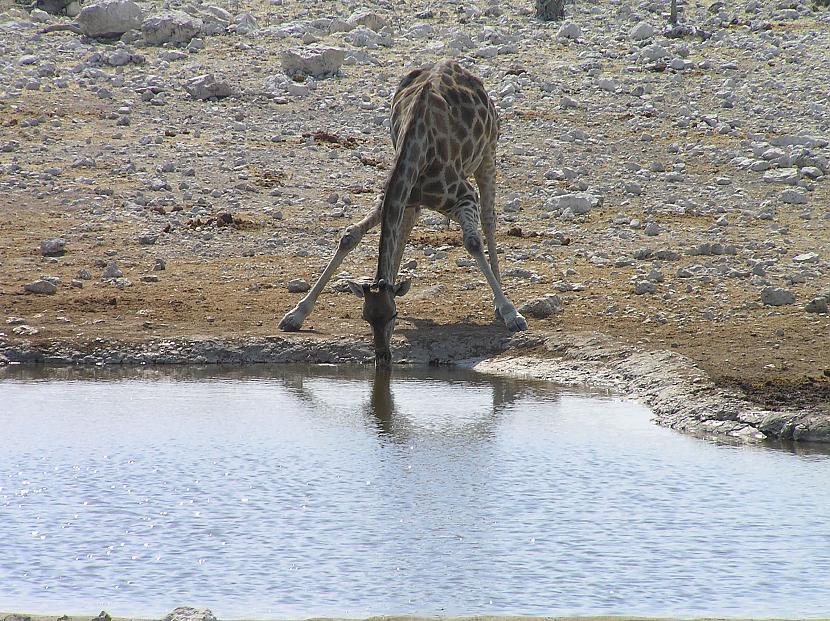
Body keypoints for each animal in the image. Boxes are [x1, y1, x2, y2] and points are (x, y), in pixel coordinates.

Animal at [280, 59, 528, 364]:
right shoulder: (392, 195)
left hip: (488, 153)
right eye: (366, 317)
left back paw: (501, 302)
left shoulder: (463, 195)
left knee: (489, 219)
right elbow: (350, 236)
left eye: (393, 316)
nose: (382, 356)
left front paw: (510, 312)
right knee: (407, 225)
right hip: (415, 199)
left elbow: (472, 241)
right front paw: (296, 314)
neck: (417, 149)